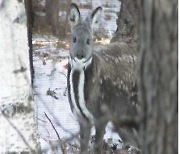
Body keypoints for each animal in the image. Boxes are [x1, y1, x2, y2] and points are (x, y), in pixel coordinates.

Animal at [67, 3, 139, 153]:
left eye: (89, 40)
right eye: (74, 38)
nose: (80, 54)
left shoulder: (101, 115)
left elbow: (97, 146)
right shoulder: (81, 118)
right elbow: (83, 146)